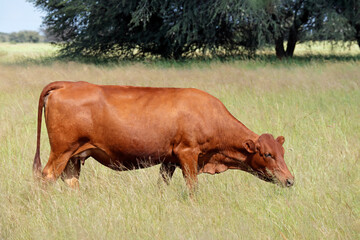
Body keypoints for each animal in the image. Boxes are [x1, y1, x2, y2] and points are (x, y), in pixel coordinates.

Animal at [32, 81, 294, 190]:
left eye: (282, 152)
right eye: (268, 154)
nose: (290, 180)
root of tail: (67, 84)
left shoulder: (169, 161)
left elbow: (163, 185)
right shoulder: (188, 154)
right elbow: (192, 187)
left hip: (74, 156)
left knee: (70, 180)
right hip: (61, 152)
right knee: (47, 177)